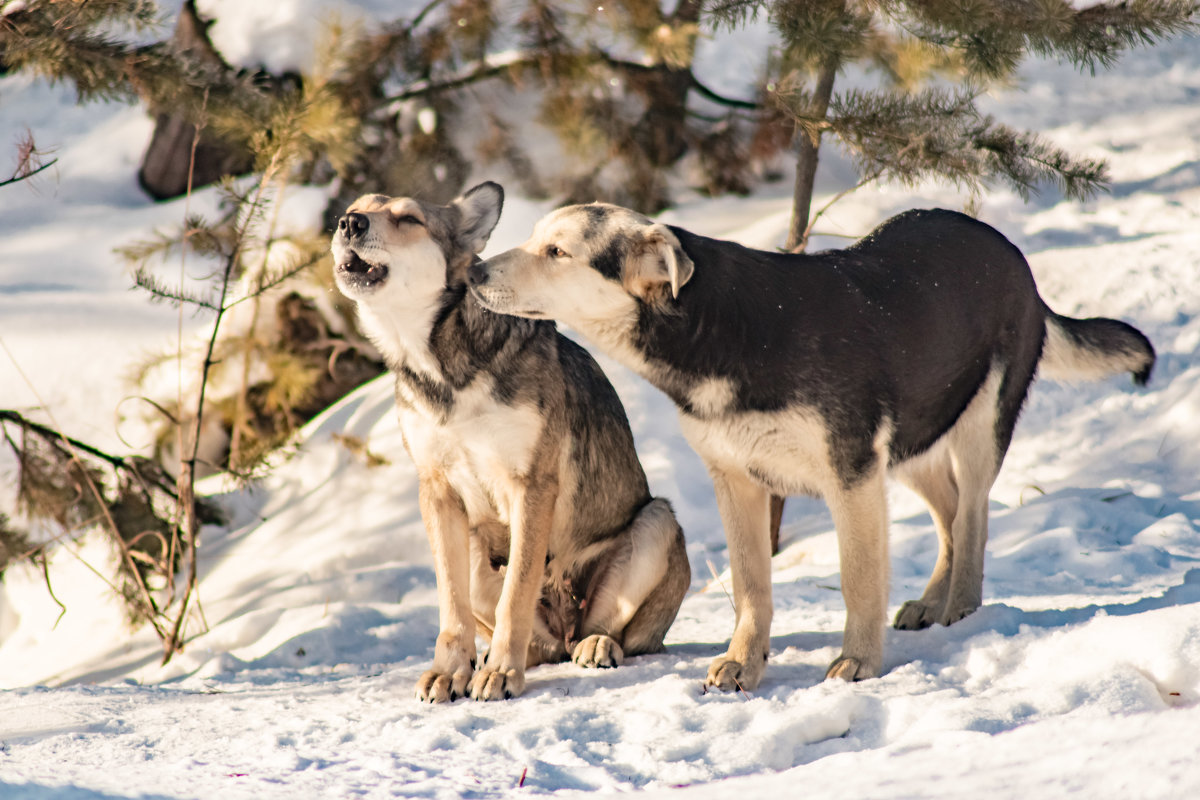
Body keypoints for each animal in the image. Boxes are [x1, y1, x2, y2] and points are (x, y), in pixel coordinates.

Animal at [333, 184, 691, 705]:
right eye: (356, 207)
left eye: (408, 219)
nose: (348, 223)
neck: (442, 367)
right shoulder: (437, 491)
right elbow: (452, 607)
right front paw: (449, 672)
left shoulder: (531, 484)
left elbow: (516, 595)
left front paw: (503, 673)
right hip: (479, 550)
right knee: (542, 643)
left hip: (656, 523)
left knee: (602, 629)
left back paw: (592, 646)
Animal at [468, 203, 1152, 690]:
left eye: (557, 252)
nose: (472, 271)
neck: (717, 329)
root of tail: (1011, 252)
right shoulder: (738, 479)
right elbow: (751, 588)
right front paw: (743, 664)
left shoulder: (851, 474)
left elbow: (858, 578)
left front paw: (860, 662)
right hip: (911, 446)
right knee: (951, 514)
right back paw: (932, 603)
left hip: (976, 428)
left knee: (974, 518)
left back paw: (961, 610)